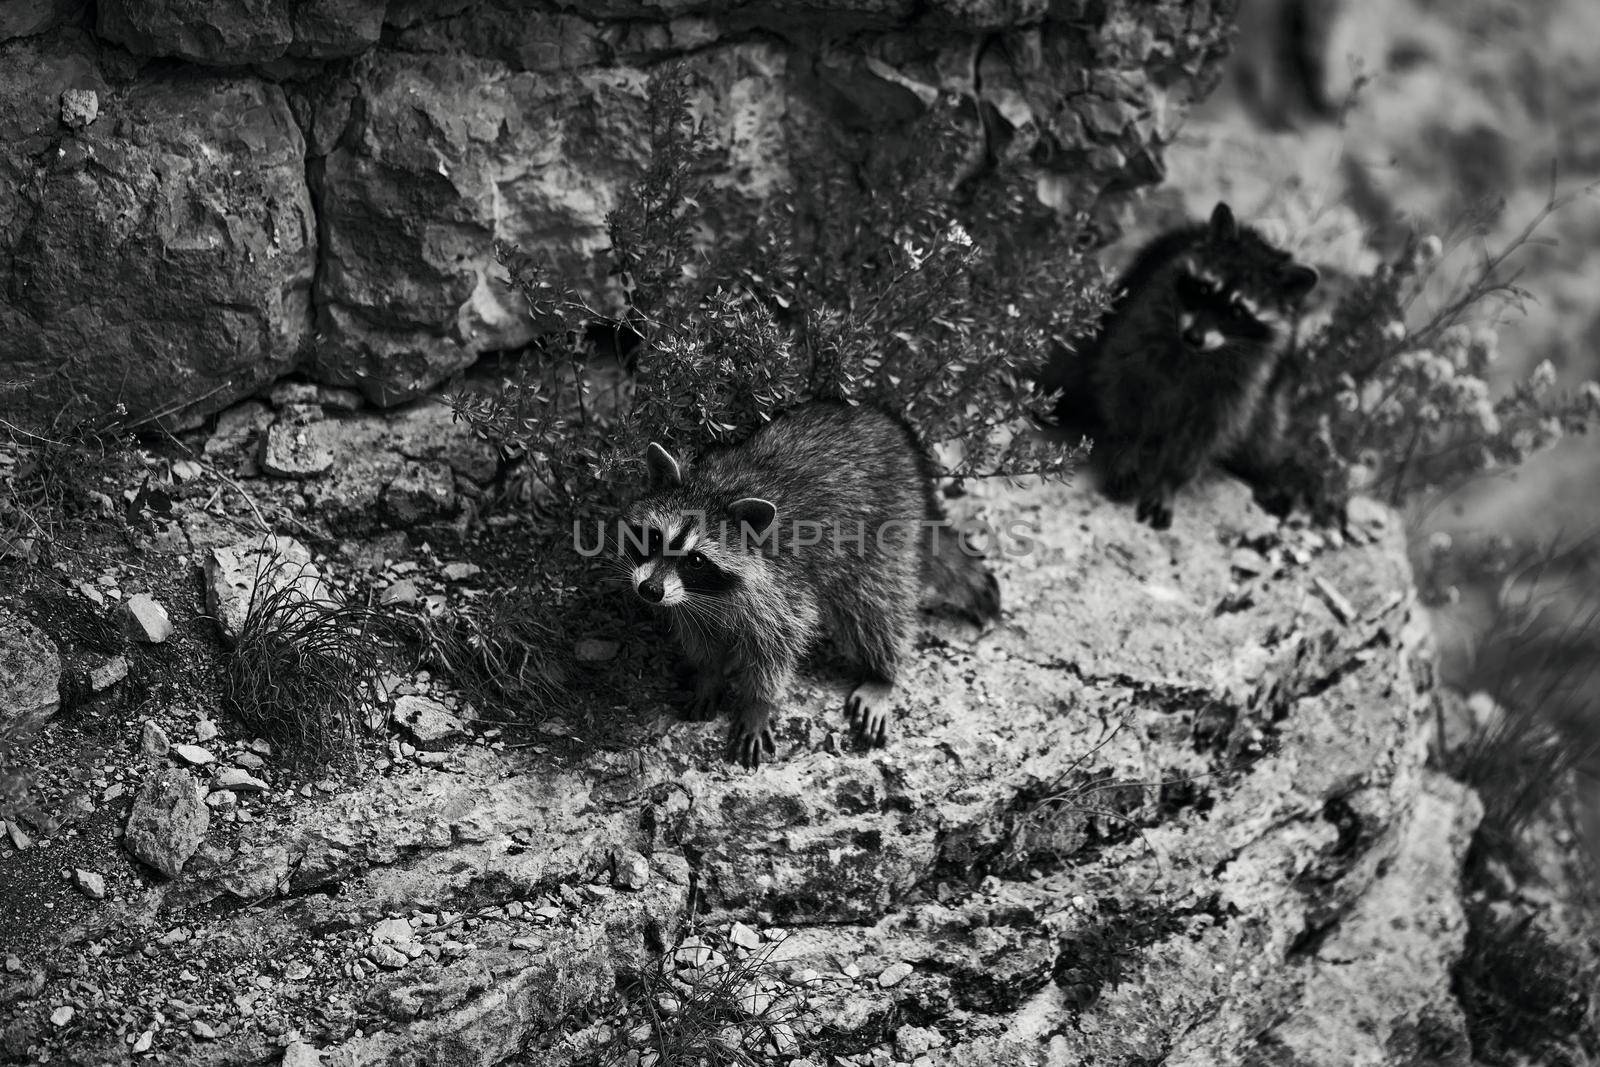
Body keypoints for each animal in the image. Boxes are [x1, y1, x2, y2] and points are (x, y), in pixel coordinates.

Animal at [614, 399, 998, 767]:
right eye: (653, 537)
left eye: (695, 560)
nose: (649, 591)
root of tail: (891, 426)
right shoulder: (690, 599)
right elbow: (699, 633)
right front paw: (708, 674)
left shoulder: (782, 588)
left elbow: (777, 647)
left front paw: (758, 702)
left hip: (885, 525)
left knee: (874, 604)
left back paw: (882, 673)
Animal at [1043, 202, 1318, 527]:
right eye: (1203, 290)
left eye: (1237, 312)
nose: (1193, 337)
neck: (1199, 352)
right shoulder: (1139, 325)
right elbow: (1126, 388)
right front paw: (1127, 448)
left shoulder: (1243, 383)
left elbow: (1205, 434)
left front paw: (1168, 481)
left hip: (1270, 400)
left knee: (1263, 436)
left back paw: (1264, 474)